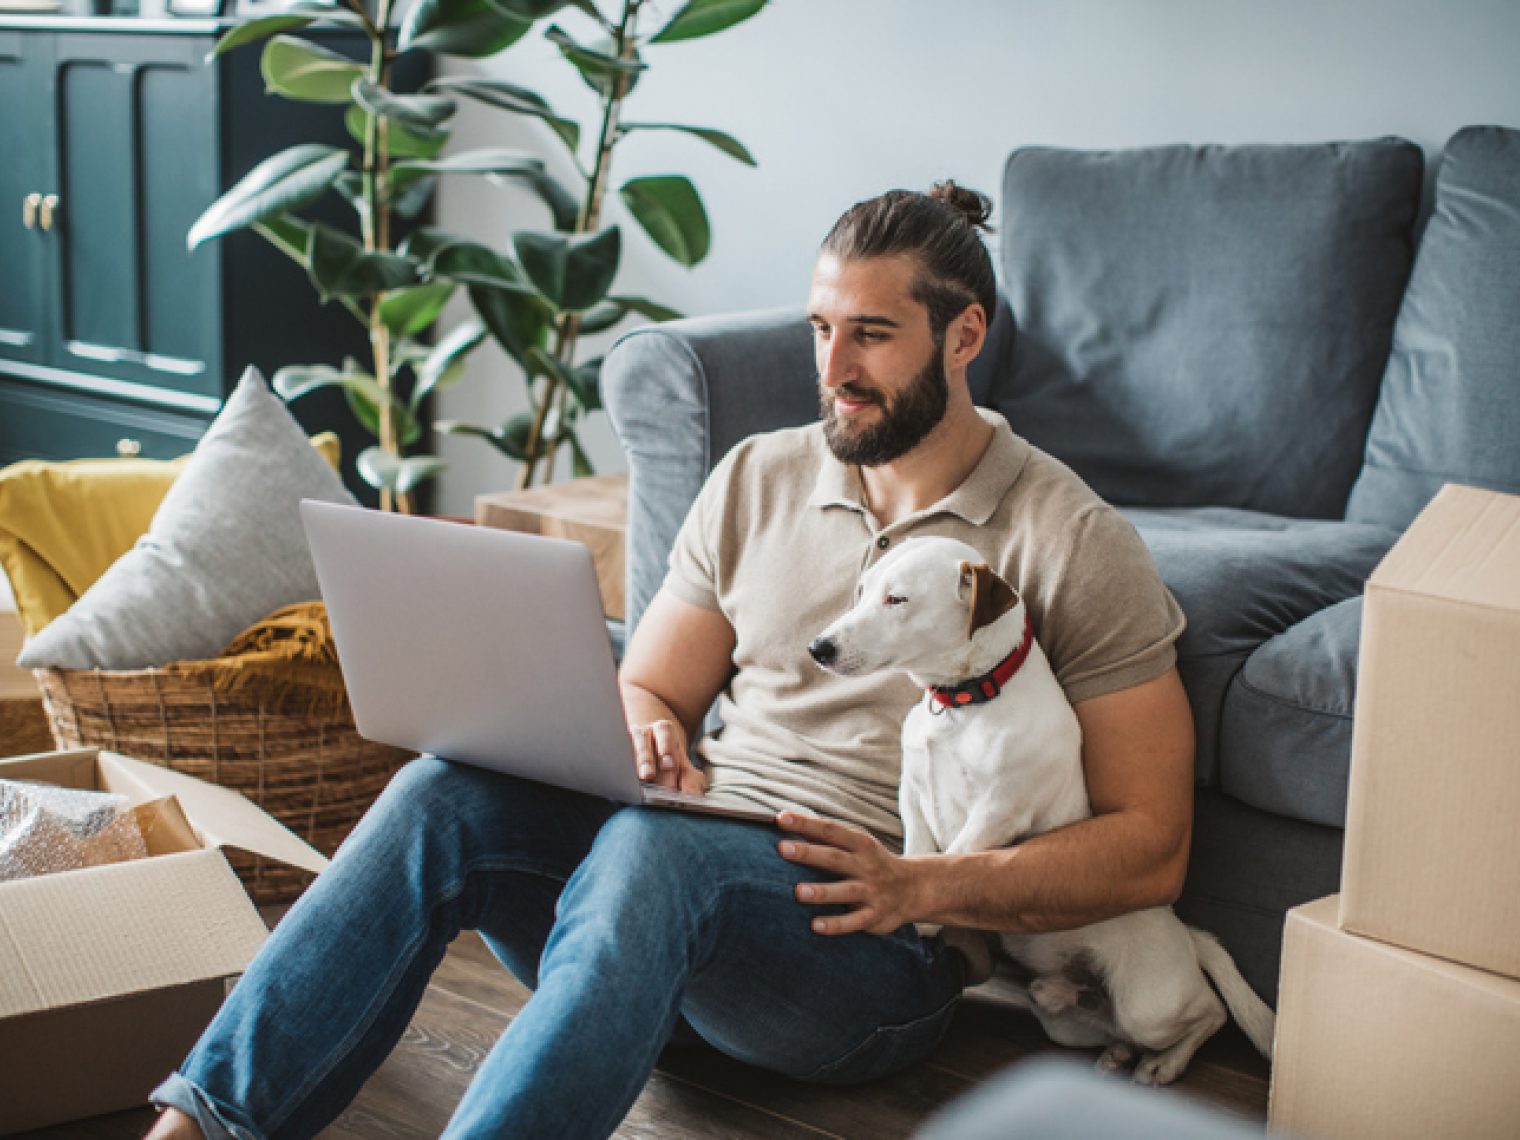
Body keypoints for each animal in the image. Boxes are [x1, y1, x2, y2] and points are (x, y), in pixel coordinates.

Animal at [814, 535, 1276, 1088]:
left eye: (897, 599)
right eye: (862, 591)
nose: (818, 648)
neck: (965, 701)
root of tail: (1185, 935)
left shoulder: (998, 812)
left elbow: (950, 858)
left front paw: (914, 910)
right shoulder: (914, 791)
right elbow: (921, 851)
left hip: (1151, 1005)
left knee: (1210, 1013)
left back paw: (1165, 1063)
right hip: (1062, 1020)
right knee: (1108, 1025)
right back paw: (1118, 1051)